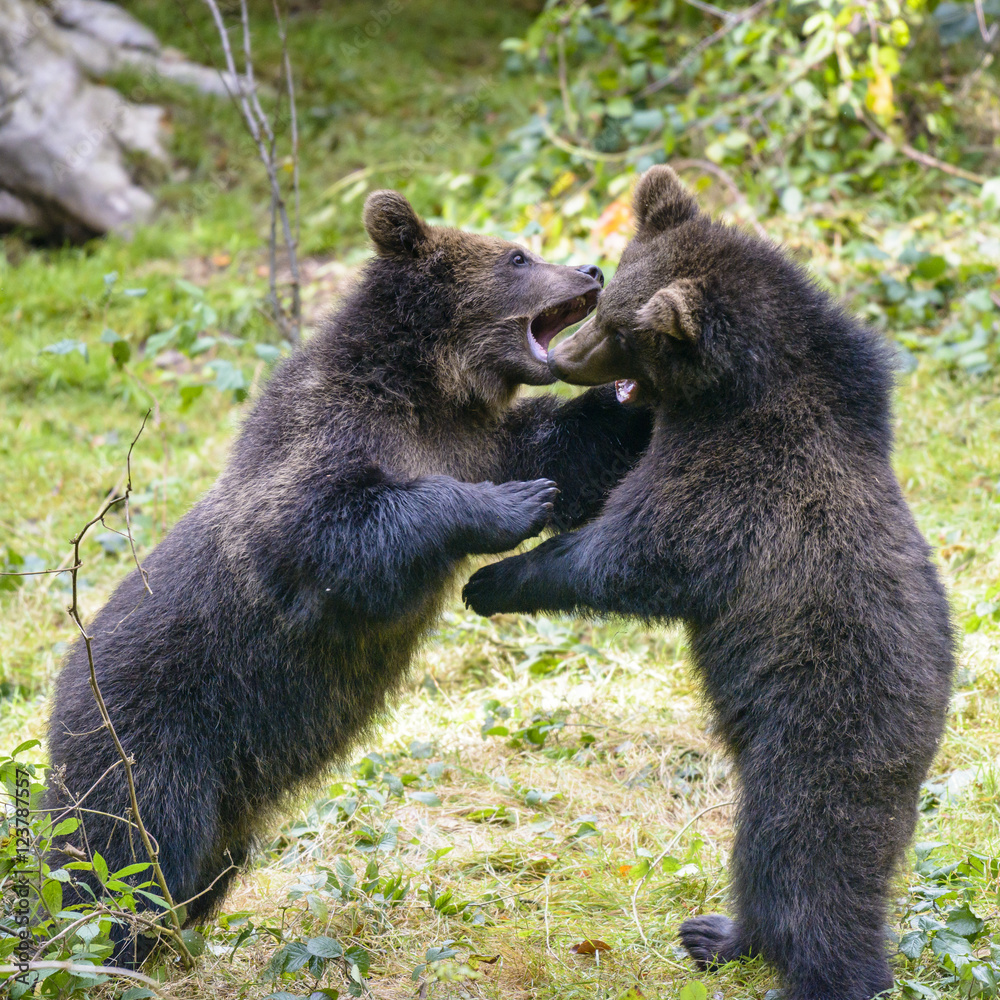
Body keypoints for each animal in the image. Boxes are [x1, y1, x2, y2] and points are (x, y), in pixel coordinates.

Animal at [45, 190, 652, 965]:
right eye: (517, 257)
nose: (591, 270)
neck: (430, 389)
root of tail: (58, 701)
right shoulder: (326, 444)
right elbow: (333, 531)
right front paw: (512, 504)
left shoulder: (482, 439)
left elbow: (572, 448)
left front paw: (639, 394)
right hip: (148, 742)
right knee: (121, 858)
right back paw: (98, 947)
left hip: (227, 799)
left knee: (198, 865)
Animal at [462, 166, 955, 1000]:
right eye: (611, 291)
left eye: (624, 330)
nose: (564, 359)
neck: (737, 394)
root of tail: (925, 743)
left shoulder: (729, 492)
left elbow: (628, 557)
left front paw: (492, 580)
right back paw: (717, 932)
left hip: (820, 734)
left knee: (805, 862)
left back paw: (816, 967)